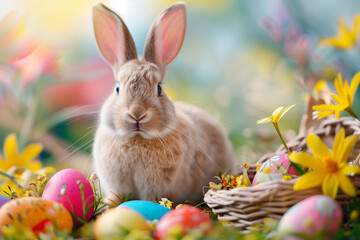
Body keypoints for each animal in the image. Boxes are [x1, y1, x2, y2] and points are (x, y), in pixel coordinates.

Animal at [91, 1, 235, 204]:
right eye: (117, 88)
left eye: (159, 88)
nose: (137, 113)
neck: (137, 138)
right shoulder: (117, 186)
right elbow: (116, 197)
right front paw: (109, 204)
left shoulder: (159, 189)